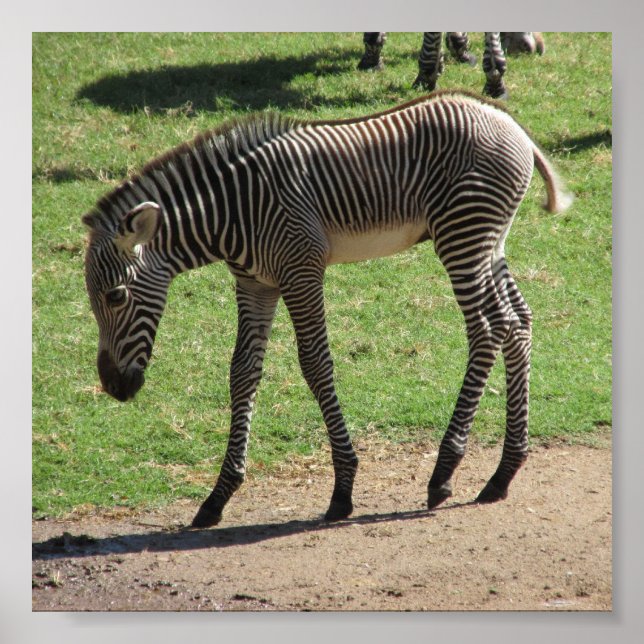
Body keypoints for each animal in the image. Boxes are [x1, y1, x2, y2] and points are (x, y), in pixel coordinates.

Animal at [83, 91, 572, 528]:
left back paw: (444, 472)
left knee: (489, 328)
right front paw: (217, 497)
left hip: (462, 236)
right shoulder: (255, 283)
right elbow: (242, 372)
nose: (113, 387)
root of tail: (511, 125)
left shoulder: (301, 269)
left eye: (116, 297)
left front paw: (343, 490)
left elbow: (315, 364)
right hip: (489, 242)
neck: (232, 210)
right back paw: (503, 473)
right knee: (518, 322)